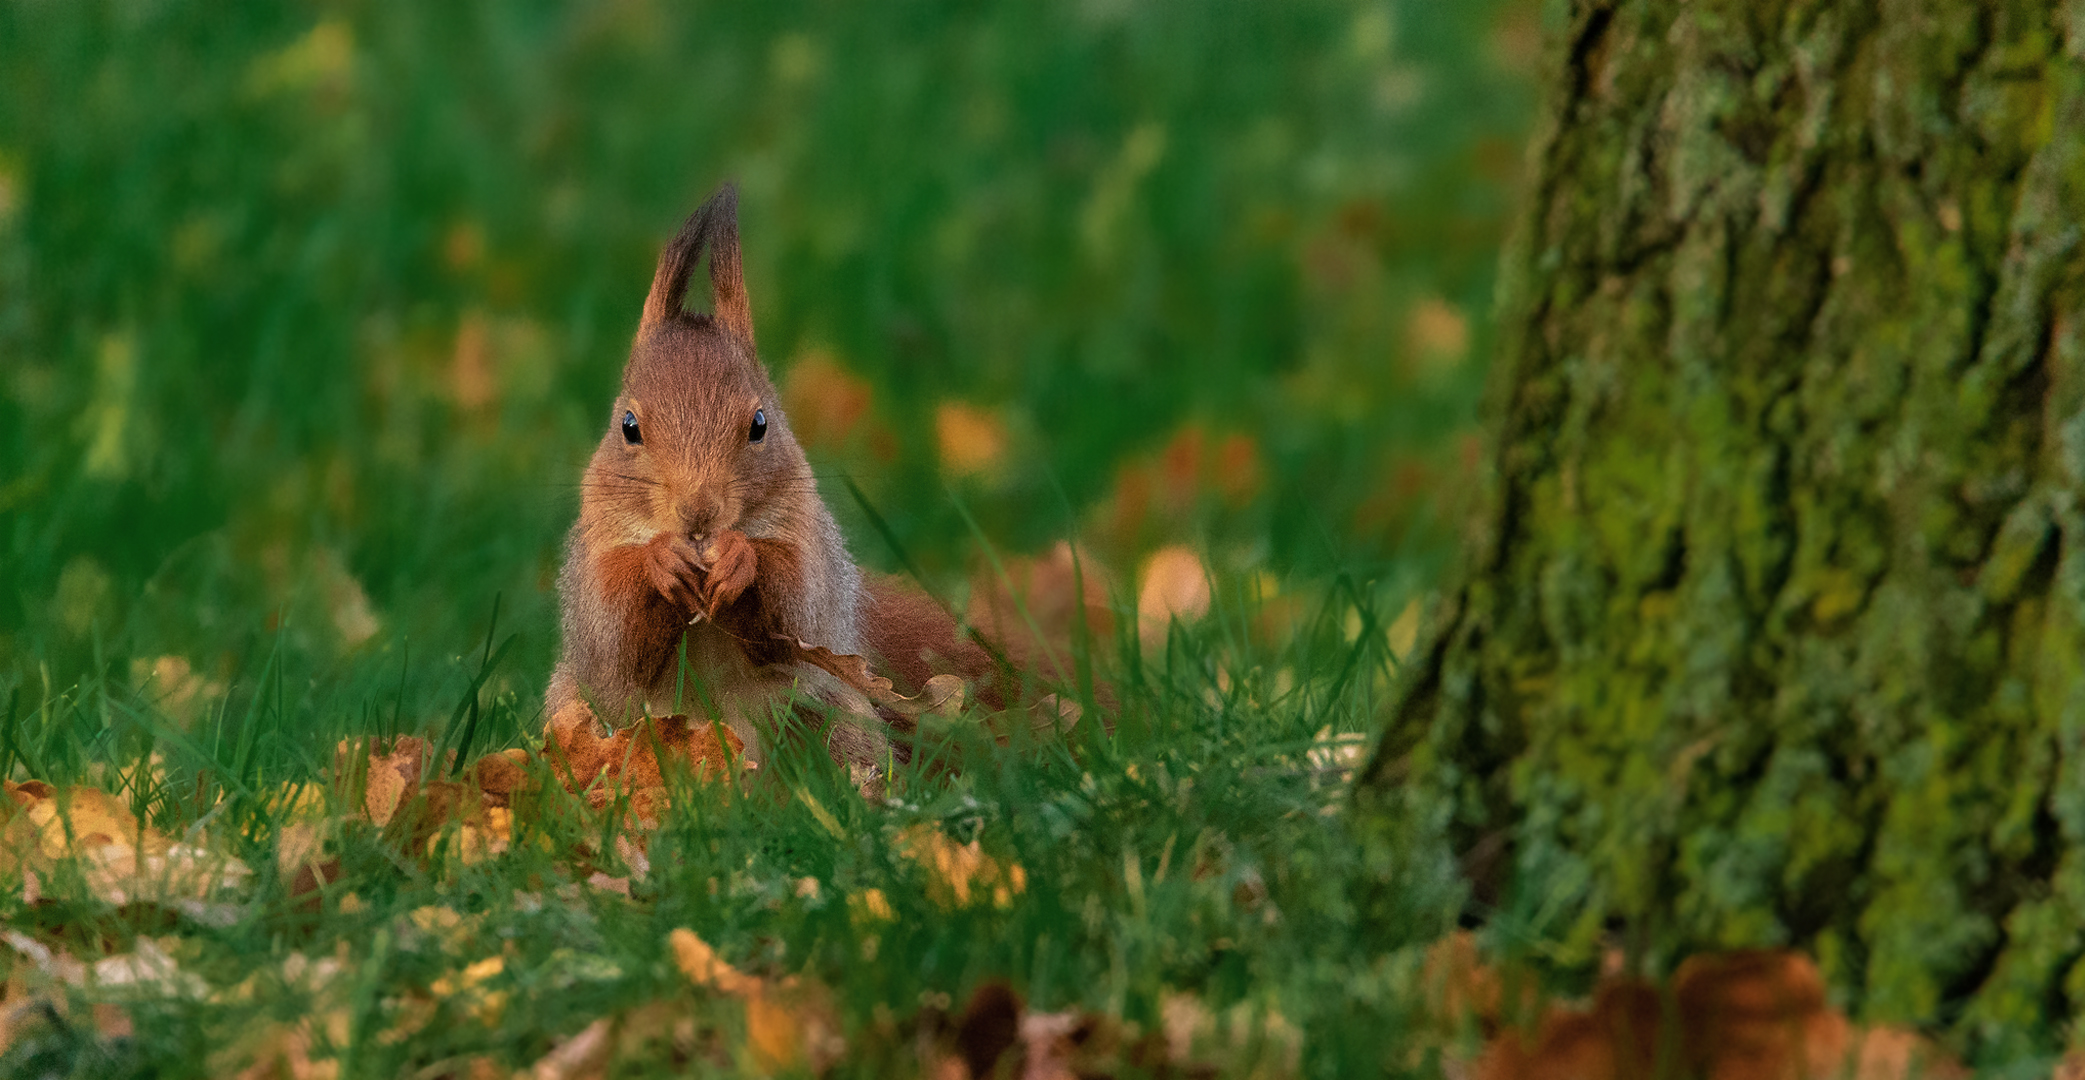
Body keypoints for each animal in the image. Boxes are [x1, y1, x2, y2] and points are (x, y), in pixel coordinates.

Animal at [550, 188, 996, 779]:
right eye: (629, 426)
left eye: (760, 423)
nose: (699, 512)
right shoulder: (592, 561)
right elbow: (615, 636)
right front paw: (660, 561)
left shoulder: (810, 541)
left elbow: (795, 603)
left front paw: (743, 559)